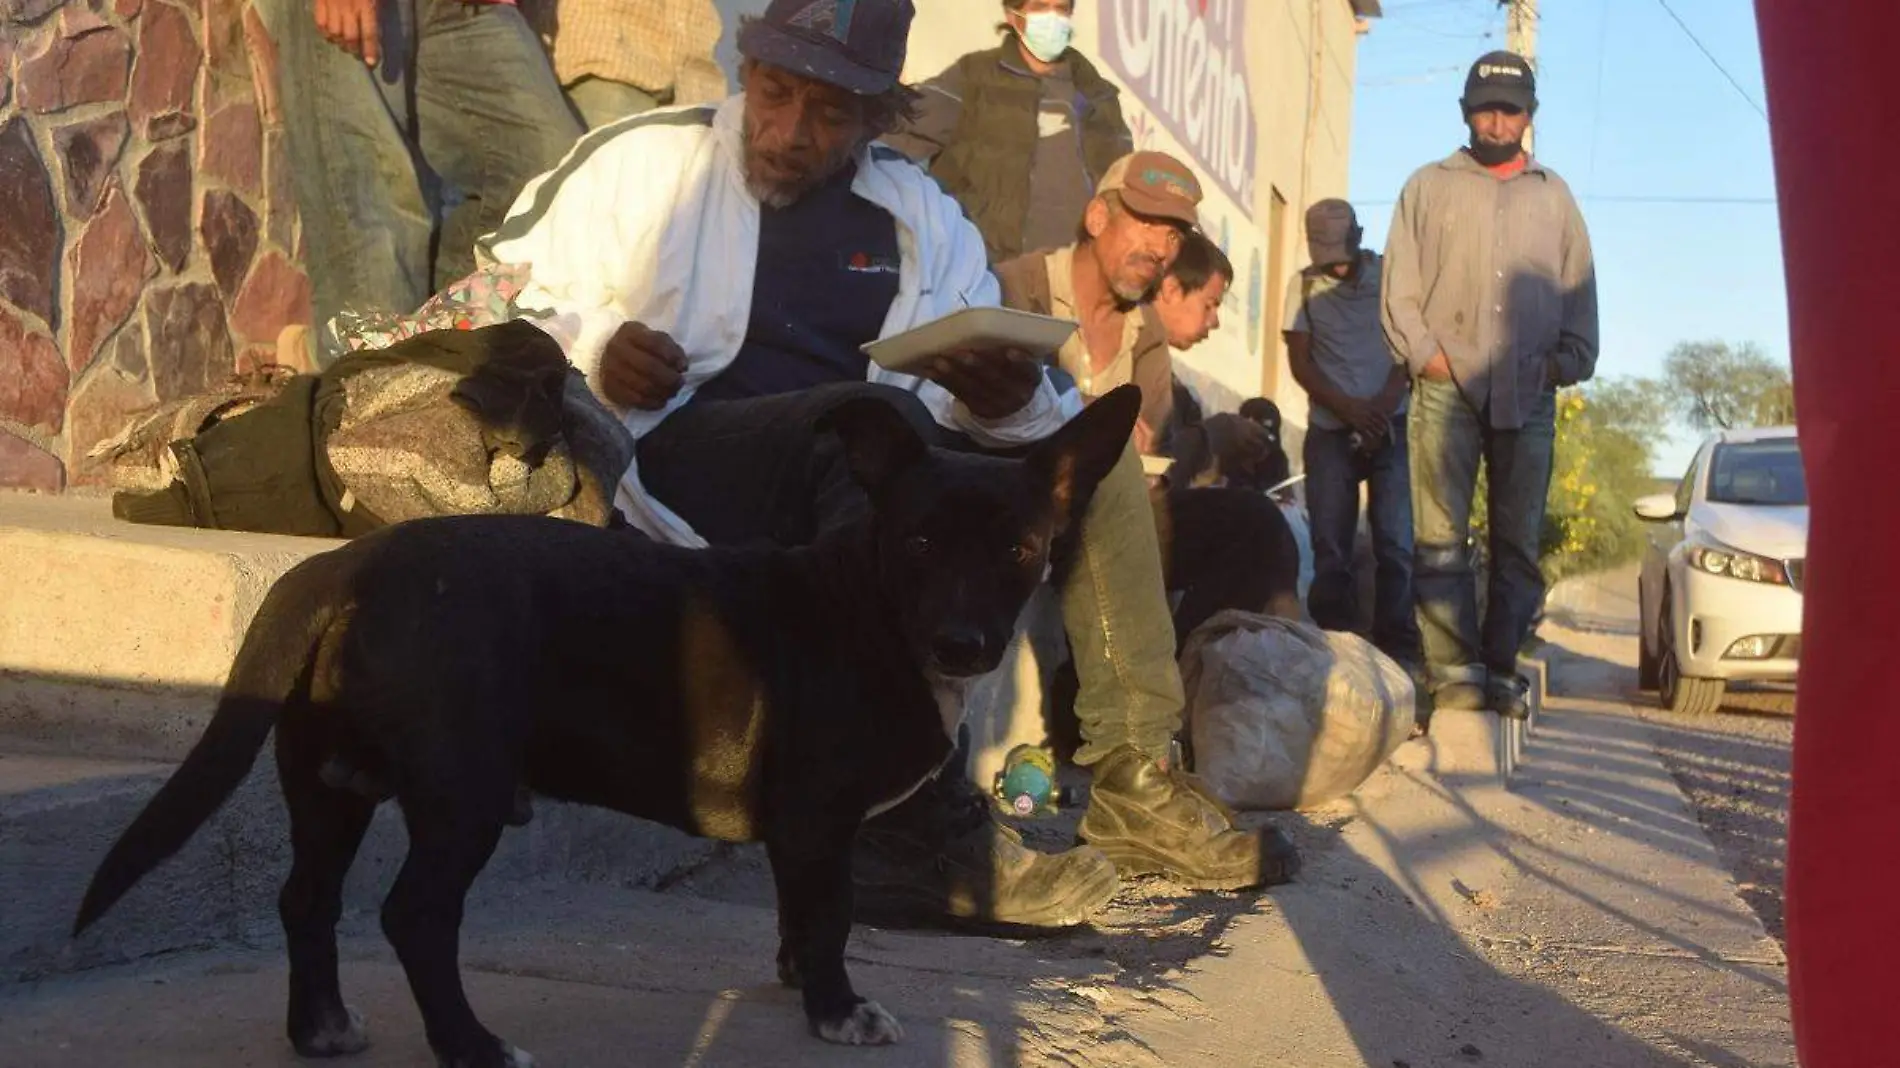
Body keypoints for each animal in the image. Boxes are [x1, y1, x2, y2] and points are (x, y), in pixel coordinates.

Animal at [74, 383, 1132, 1064]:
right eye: (916, 542)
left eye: (1022, 549)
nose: (964, 643)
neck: (869, 606)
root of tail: (343, 566)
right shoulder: (818, 819)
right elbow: (830, 916)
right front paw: (836, 1011)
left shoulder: (803, 837)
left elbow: (802, 914)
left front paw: (800, 982)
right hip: (460, 796)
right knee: (413, 916)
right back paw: (472, 1046)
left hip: (329, 788)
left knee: (307, 902)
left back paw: (321, 1029)